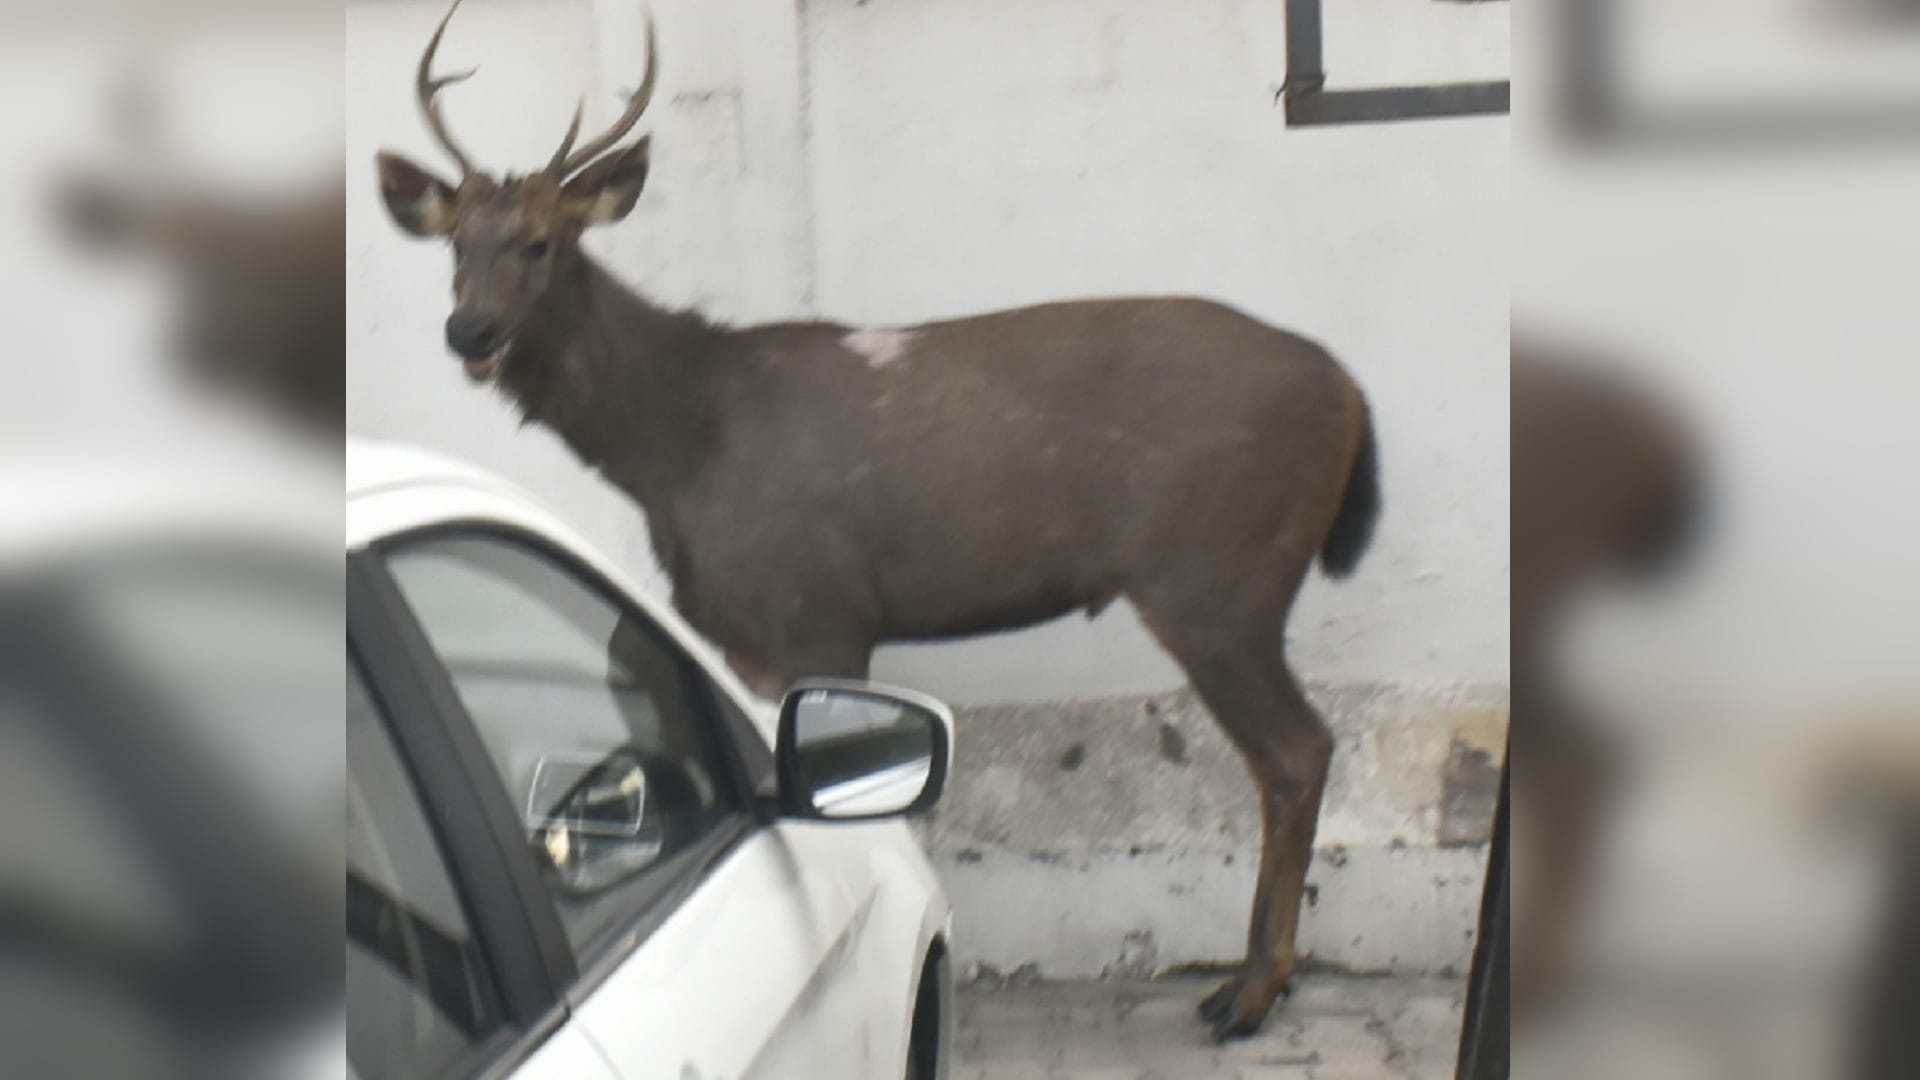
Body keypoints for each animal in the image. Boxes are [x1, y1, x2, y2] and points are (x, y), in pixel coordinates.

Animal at [374, 0, 1381, 1041]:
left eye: (541, 241)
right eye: (456, 245)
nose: (469, 331)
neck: (675, 448)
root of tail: (1348, 388)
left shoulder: (816, 608)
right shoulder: (750, 632)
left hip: (1218, 574)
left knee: (1297, 750)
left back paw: (1251, 992)